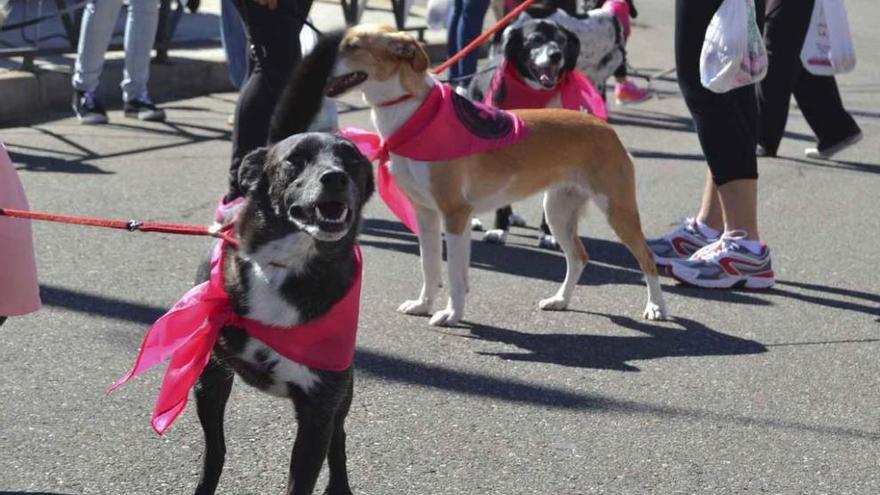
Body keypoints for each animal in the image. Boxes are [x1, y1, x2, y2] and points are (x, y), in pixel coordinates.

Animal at [191, 33, 372, 494]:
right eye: (296, 160)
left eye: (352, 161)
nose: (335, 178)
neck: (286, 266)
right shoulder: (210, 375)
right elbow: (214, 451)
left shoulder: (319, 405)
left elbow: (309, 469)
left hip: (343, 391)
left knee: (340, 439)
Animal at [328, 25, 668, 328]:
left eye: (354, 46)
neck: (416, 116)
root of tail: (605, 127)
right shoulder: (426, 214)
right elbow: (431, 267)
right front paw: (424, 305)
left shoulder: (455, 213)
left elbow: (454, 275)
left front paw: (451, 315)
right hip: (558, 211)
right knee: (578, 257)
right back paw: (560, 300)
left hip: (617, 210)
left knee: (647, 257)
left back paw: (655, 307)